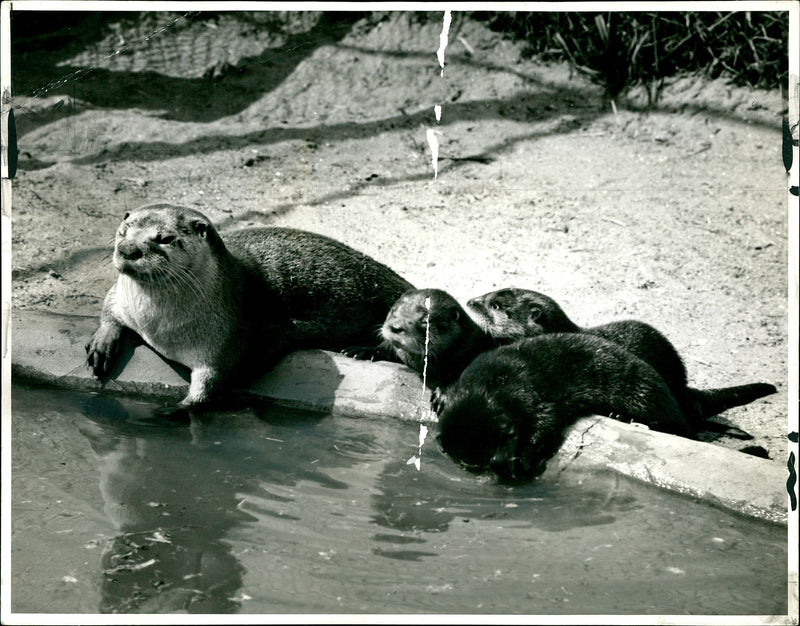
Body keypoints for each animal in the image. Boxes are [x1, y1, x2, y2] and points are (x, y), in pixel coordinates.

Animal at [86, 202, 412, 402]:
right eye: (123, 232)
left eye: (164, 238)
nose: (128, 249)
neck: (161, 330)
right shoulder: (121, 299)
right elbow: (109, 310)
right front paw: (101, 345)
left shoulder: (224, 346)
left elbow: (206, 393)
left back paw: (363, 351)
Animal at [434, 332, 692, 482]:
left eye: (508, 438)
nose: (499, 463)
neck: (495, 383)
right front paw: (440, 396)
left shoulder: (534, 398)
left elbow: (544, 424)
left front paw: (522, 462)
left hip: (644, 390)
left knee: (675, 424)